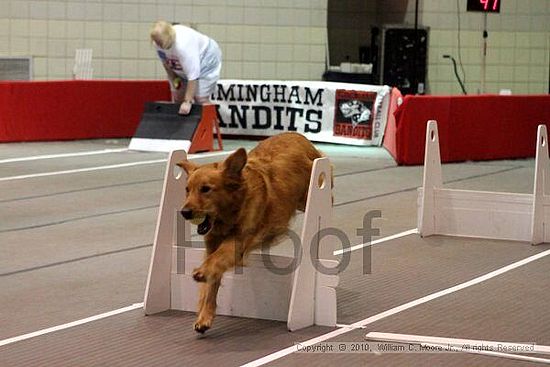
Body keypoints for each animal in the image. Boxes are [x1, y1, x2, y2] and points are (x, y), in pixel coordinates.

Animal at [177, 132, 326, 334]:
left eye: (206, 189)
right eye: (187, 190)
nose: (184, 212)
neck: (230, 213)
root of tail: (299, 136)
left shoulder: (237, 243)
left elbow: (215, 260)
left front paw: (201, 272)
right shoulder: (212, 245)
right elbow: (211, 283)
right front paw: (204, 317)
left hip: (308, 195)